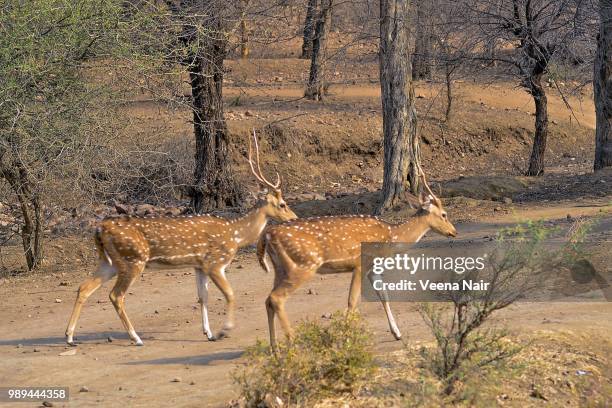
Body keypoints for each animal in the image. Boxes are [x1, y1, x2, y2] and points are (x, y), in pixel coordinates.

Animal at [65, 132, 298, 346]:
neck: (236, 235)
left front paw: (209, 333)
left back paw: (69, 337)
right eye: (283, 204)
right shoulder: (215, 263)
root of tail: (99, 229)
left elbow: (203, 297)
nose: (294, 218)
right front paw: (224, 331)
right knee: (116, 295)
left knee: (84, 287)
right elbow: (230, 294)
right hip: (133, 260)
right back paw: (136, 338)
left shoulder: (199, 266)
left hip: (109, 262)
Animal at [256, 164, 454, 350]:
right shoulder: (361, 263)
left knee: (268, 300)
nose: (454, 231)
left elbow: (383, 294)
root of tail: (267, 234)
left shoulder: (373, 266)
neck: (392, 236)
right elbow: (352, 301)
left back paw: (275, 348)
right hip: (303, 265)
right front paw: (347, 340)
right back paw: (293, 344)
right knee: (277, 299)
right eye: (444, 215)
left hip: (280, 268)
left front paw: (397, 333)